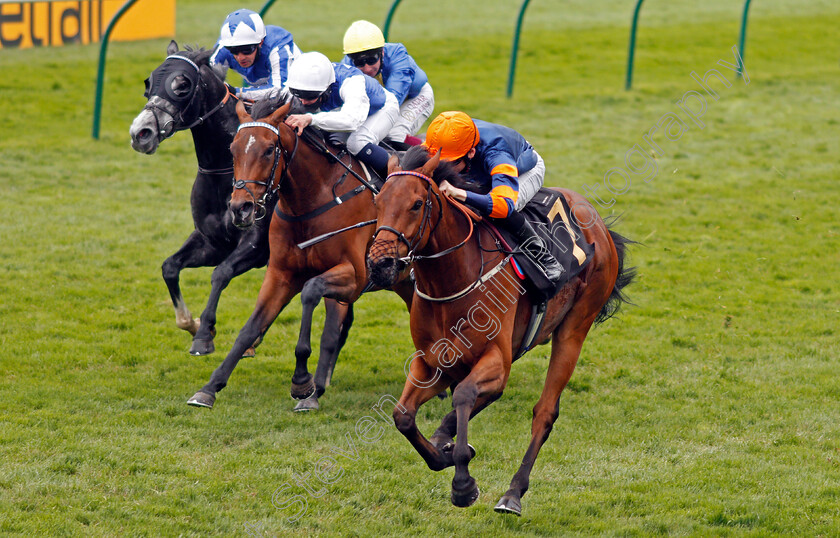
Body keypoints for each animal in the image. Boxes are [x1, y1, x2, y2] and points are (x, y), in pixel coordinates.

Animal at [130, 43, 352, 386]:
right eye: (148, 83)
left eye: (182, 86)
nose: (140, 132)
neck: (224, 171)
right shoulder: (212, 241)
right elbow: (170, 267)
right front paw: (192, 324)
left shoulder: (257, 247)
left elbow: (220, 273)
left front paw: (205, 334)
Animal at [189, 95, 416, 410]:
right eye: (232, 149)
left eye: (269, 150)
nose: (239, 208)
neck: (311, 202)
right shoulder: (280, 273)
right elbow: (250, 327)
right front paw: (210, 387)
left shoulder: (354, 275)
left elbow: (312, 294)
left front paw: (302, 383)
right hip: (404, 282)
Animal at [364, 146, 632, 510]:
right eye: (378, 201)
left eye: (417, 204)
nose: (380, 264)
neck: (451, 280)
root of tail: (599, 225)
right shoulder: (434, 362)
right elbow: (403, 415)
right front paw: (443, 453)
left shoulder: (495, 359)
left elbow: (464, 395)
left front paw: (463, 484)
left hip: (574, 329)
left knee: (544, 412)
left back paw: (513, 493)